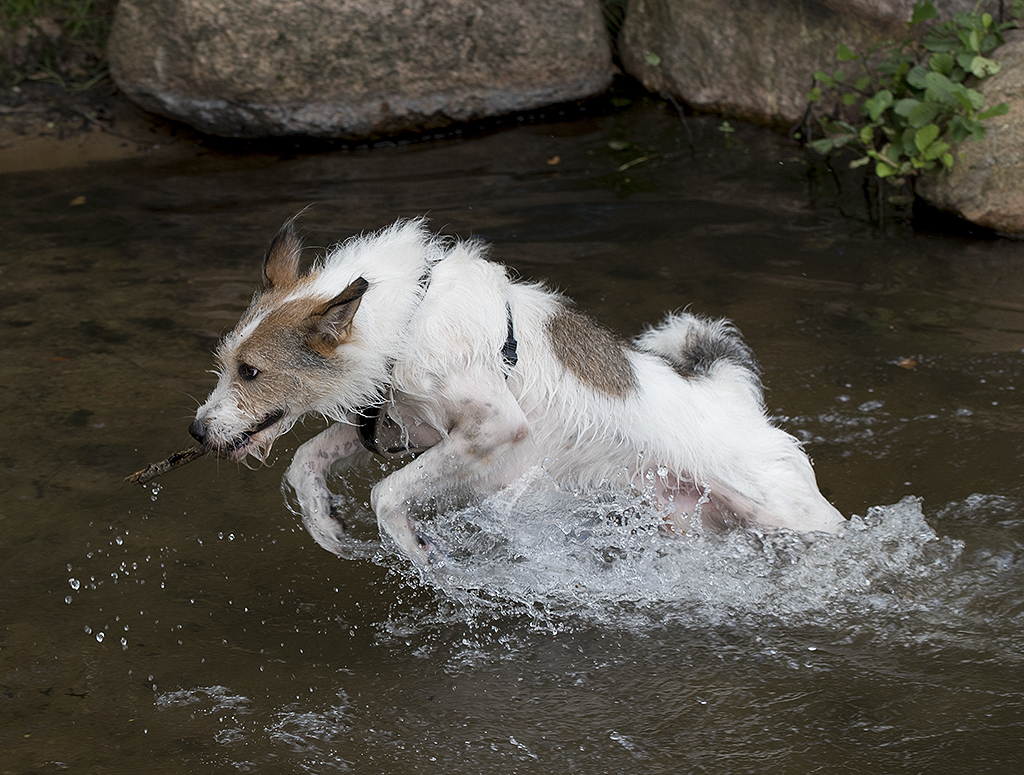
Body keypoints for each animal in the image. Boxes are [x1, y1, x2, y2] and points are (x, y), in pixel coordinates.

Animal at [188, 216, 843, 561]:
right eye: (225, 364)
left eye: (251, 372)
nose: (196, 430)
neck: (407, 317)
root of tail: (731, 398)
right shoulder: (413, 426)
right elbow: (305, 459)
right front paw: (324, 525)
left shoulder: (496, 426)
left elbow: (387, 492)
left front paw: (417, 554)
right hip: (689, 522)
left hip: (790, 514)